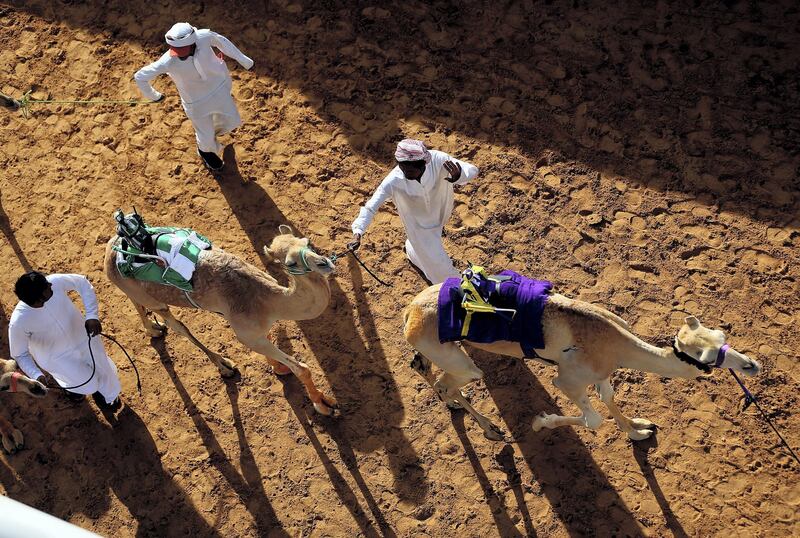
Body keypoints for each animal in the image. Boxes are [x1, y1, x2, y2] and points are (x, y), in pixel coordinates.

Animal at [104, 224, 338, 412]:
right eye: (290, 263)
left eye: (306, 242)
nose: (325, 263)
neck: (270, 301)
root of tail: (109, 252)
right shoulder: (246, 334)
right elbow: (302, 369)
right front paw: (323, 404)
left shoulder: (258, 330)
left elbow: (271, 342)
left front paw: (278, 368)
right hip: (152, 298)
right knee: (177, 325)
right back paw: (225, 365)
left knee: (139, 304)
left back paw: (154, 328)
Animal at [406, 284, 764, 440]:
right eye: (708, 357)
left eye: (721, 336)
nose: (752, 365)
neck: (616, 343)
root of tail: (408, 313)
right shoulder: (569, 379)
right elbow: (593, 419)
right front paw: (541, 423)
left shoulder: (603, 371)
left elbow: (608, 397)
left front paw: (639, 430)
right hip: (460, 362)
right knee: (450, 380)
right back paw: (491, 429)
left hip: (441, 350)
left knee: (426, 369)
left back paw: (456, 405)